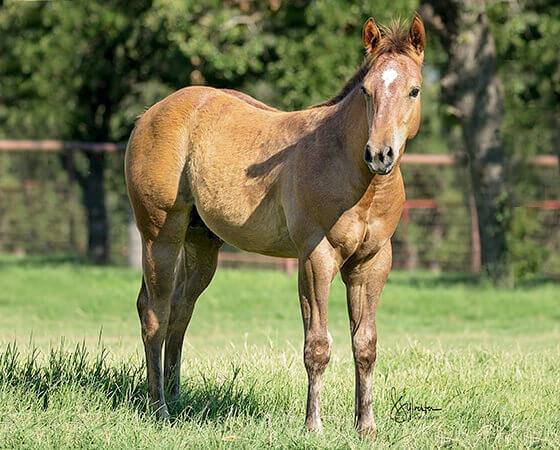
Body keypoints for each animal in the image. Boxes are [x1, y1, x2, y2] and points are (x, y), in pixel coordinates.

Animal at [126, 15, 424, 434]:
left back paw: (177, 399)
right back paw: (160, 408)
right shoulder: (316, 257)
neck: (354, 176)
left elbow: (365, 344)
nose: (380, 154)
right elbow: (317, 345)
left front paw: (366, 426)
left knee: (180, 312)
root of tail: (150, 113)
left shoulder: (372, 263)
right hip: (160, 236)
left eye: (414, 90)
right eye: (366, 91)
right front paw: (312, 425)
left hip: (202, 244)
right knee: (156, 313)